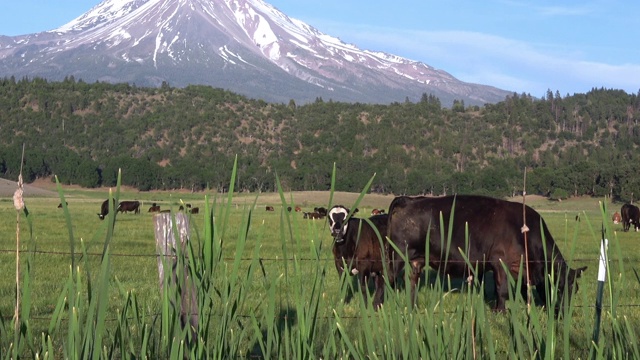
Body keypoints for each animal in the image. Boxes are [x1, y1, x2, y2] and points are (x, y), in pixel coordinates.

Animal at [388, 195, 588, 310]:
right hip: (397, 257)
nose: (564, 313)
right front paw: (500, 311)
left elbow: (522, 290)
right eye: (559, 287)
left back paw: (413, 307)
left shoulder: (520, 268)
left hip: (416, 261)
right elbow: (502, 289)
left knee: (412, 283)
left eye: (575, 290)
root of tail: (411, 199)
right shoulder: (500, 262)